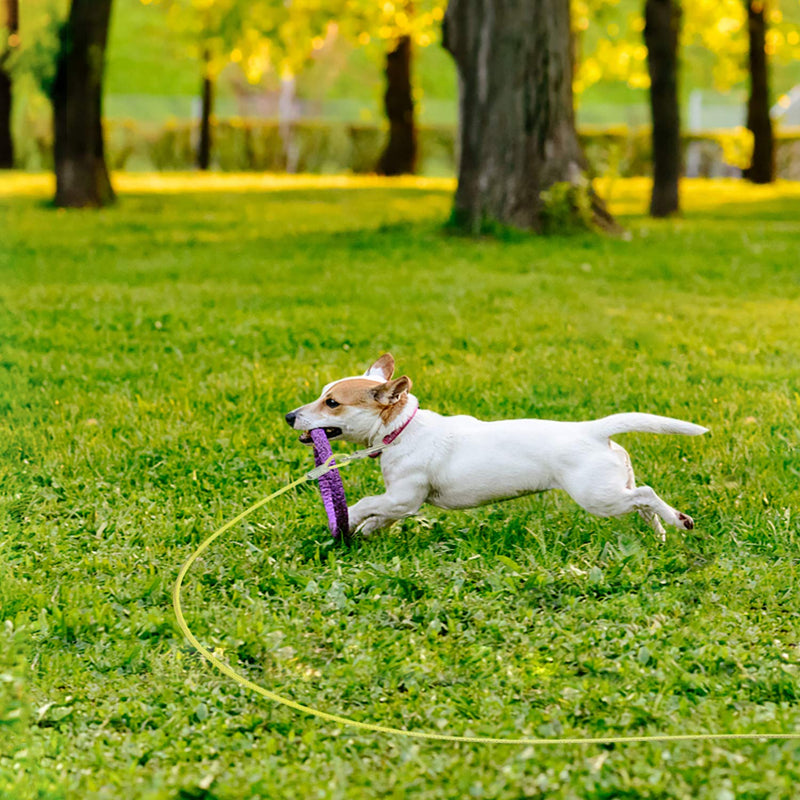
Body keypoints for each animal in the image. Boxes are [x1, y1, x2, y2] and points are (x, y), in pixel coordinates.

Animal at [286, 354, 708, 536]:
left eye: (332, 403)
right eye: (322, 394)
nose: (290, 416)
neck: (402, 429)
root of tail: (593, 430)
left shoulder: (404, 496)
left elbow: (366, 504)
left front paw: (348, 521)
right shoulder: (399, 503)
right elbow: (380, 516)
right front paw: (364, 532)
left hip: (598, 497)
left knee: (647, 494)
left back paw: (678, 520)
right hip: (614, 487)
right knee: (642, 501)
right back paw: (660, 533)